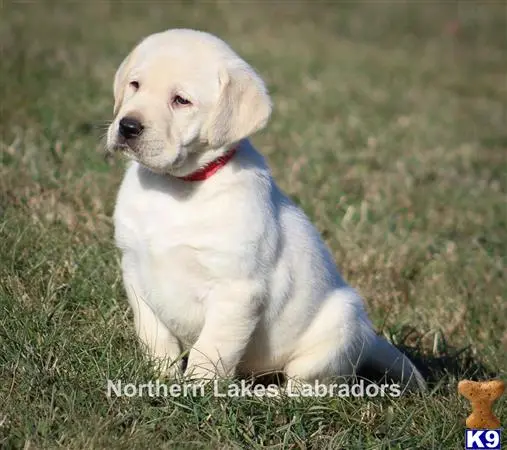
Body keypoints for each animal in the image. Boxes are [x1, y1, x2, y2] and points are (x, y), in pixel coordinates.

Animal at [109, 29, 426, 392]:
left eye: (181, 100)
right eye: (135, 85)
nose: (128, 126)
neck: (176, 188)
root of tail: (368, 341)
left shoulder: (237, 289)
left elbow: (212, 348)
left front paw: (196, 390)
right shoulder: (135, 269)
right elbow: (154, 333)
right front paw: (161, 376)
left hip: (338, 323)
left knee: (309, 387)